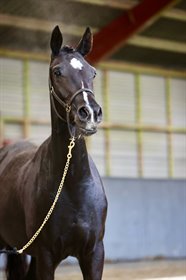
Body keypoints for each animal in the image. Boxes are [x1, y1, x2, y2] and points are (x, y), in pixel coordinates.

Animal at [0, 25, 107, 278]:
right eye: (57, 72)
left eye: (93, 72)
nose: (90, 113)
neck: (73, 183)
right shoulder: (46, 256)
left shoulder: (94, 254)